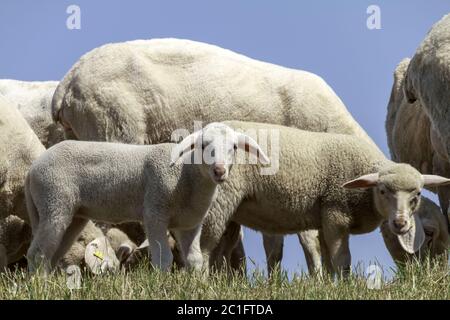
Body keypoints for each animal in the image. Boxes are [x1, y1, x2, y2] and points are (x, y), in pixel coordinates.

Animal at [24, 122, 268, 272]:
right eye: (202, 145)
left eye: (234, 147)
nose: (219, 170)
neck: (186, 176)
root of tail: (32, 170)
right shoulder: (155, 211)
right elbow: (163, 258)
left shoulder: (189, 224)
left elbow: (195, 261)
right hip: (54, 200)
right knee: (37, 253)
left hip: (73, 214)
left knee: (52, 254)